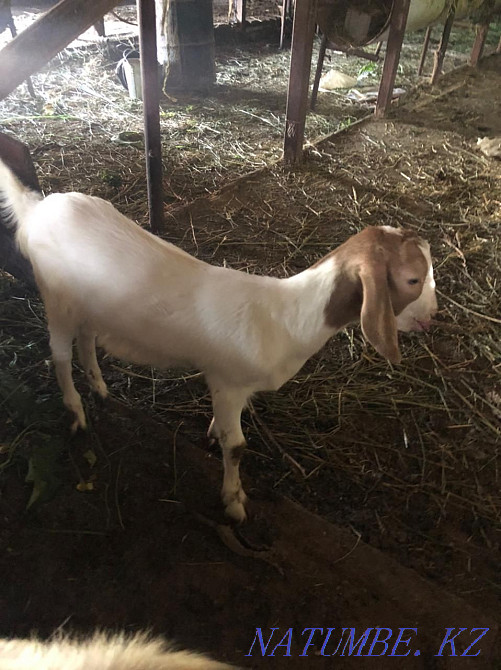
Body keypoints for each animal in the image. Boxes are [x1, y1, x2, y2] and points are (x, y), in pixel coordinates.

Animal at [0, 158, 437, 522]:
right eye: (413, 279)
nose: (432, 317)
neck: (287, 316)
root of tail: (38, 208)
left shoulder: (232, 389)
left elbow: (226, 430)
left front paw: (213, 435)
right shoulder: (229, 382)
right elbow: (237, 445)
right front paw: (234, 501)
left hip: (91, 302)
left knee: (87, 338)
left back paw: (99, 387)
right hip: (56, 295)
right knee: (57, 353)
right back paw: (76, 411)